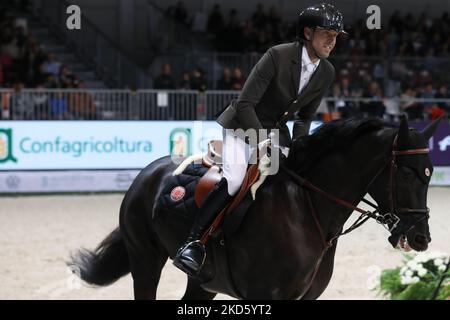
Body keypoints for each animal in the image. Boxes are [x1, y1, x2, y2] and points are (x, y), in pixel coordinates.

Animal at [69, 116, 442, 298]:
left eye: (430, 172)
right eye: (406, 173)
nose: (421, 238)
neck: (307, 209)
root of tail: (148, 172)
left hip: (204, 282)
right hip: (145, 262)